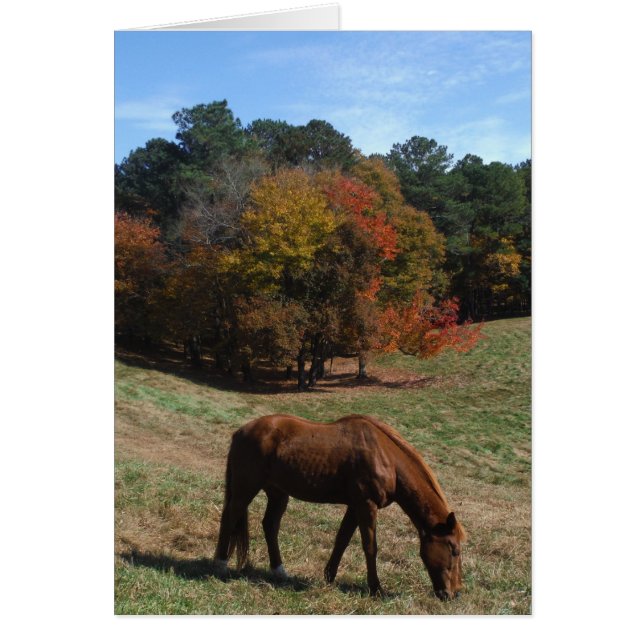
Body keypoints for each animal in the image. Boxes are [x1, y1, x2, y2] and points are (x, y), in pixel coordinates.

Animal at [213, 414, 466, 600]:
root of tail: (241, 432)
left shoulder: (354, 507)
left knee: (270, 526)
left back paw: (279, 571)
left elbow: (342, 540)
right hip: (246, 488)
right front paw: (376, 588)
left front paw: (329, 577)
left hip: (278, 493)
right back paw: (220, 565)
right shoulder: (366, 505)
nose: (454, 593)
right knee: (230, 517)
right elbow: (370, 546)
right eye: (454, 550)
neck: (385, 457)